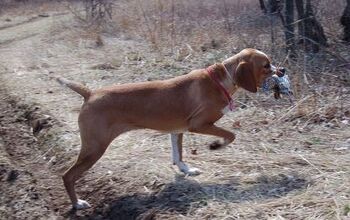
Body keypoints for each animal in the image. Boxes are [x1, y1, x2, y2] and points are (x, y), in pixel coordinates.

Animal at [58, 47, 280, 208]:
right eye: (266, 65)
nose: (283, 70)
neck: (221, 80)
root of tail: (90, 93)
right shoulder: (199, 125)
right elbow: (231, 135)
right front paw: (217, 145)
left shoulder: (177, 130)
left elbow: (178, 154)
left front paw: (186, 169)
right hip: (94, 149)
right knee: (67, 176)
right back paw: (77, 204)